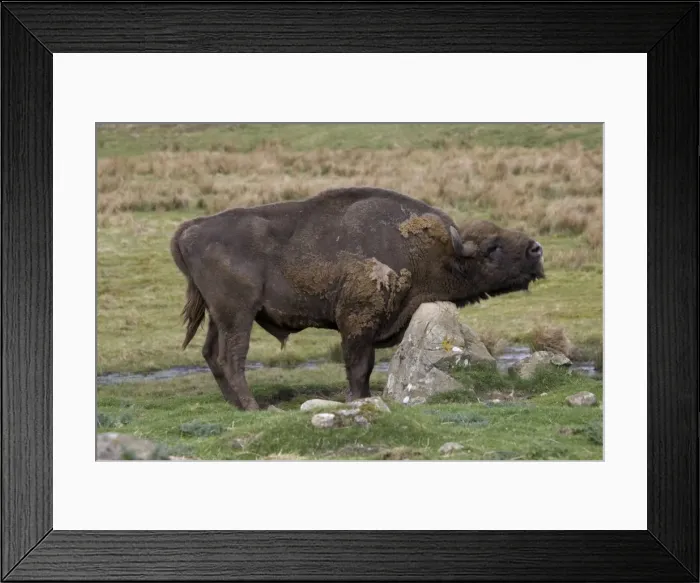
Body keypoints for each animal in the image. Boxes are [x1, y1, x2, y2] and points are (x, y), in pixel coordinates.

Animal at [171, 187, 544, 410]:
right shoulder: (358, 322)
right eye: (493, 248)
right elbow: (359, 367)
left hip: (218, 316)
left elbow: (364, 367)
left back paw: (236, 405)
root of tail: (190, 229)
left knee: (211, 355)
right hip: (237, 315)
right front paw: (360, 399)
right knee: (232, 359)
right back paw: (253, 406)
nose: (536, 250)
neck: (438, 251)